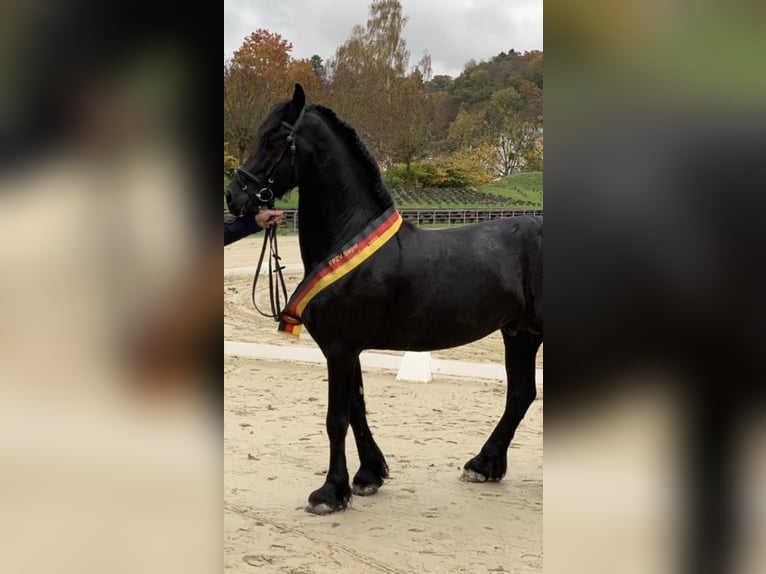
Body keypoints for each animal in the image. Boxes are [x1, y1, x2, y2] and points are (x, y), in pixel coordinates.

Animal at [226, 84, 543, 515]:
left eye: (275, 138)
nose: (234, 197)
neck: (348, 237)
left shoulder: (340, 348)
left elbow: (336, 418)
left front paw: (330, 492)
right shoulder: (347, 349)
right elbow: (357, 409)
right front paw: (368, 476)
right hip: (520, 332)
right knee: (521, 393)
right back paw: (483, 464)